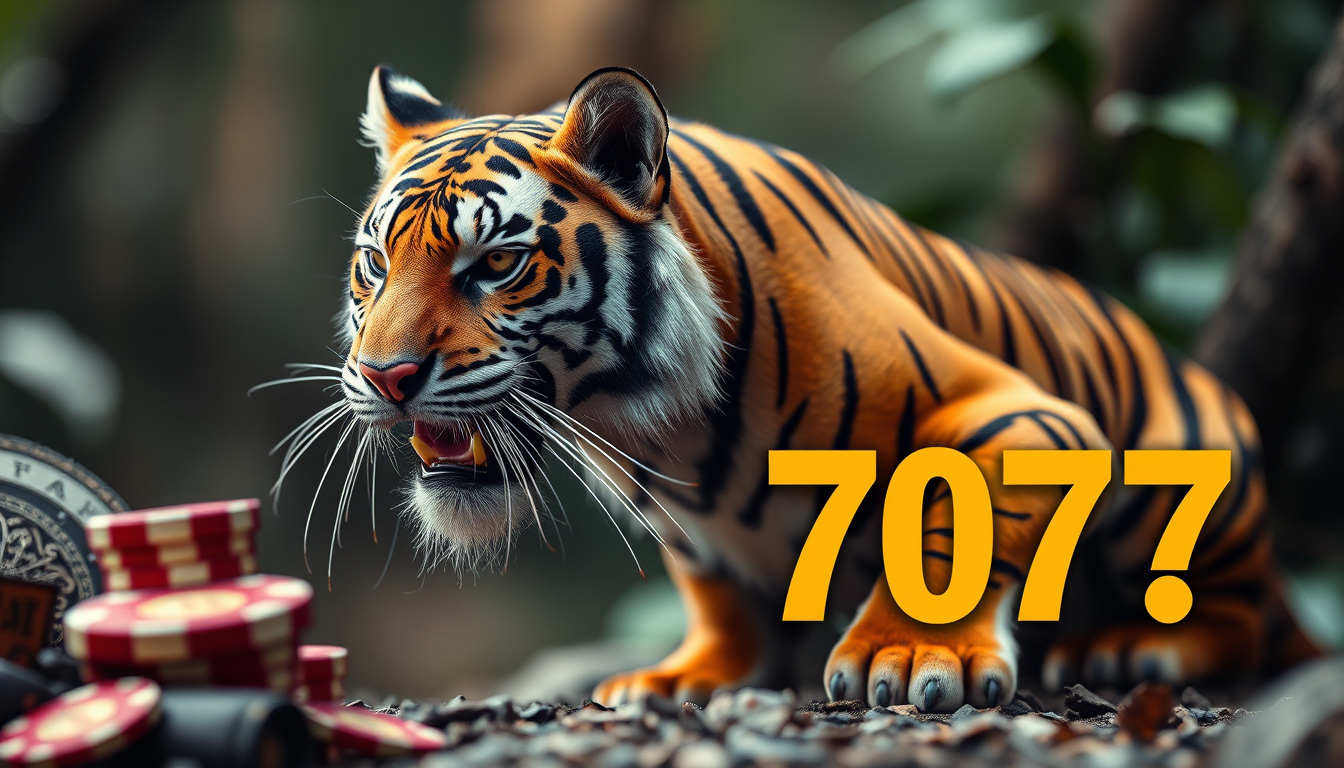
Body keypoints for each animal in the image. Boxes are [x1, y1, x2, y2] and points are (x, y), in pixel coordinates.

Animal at [332, 64, 1320, 712]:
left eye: (496, 264)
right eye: (376, 265)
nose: (385, 376)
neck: (655, 429)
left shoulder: (1021, 411)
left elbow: (946, 528)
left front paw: (914, 655)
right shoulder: (683, 524)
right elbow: (712, 586)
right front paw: (686, 675)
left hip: (1182, 480)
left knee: (1239, 615)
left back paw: (1134, 647)